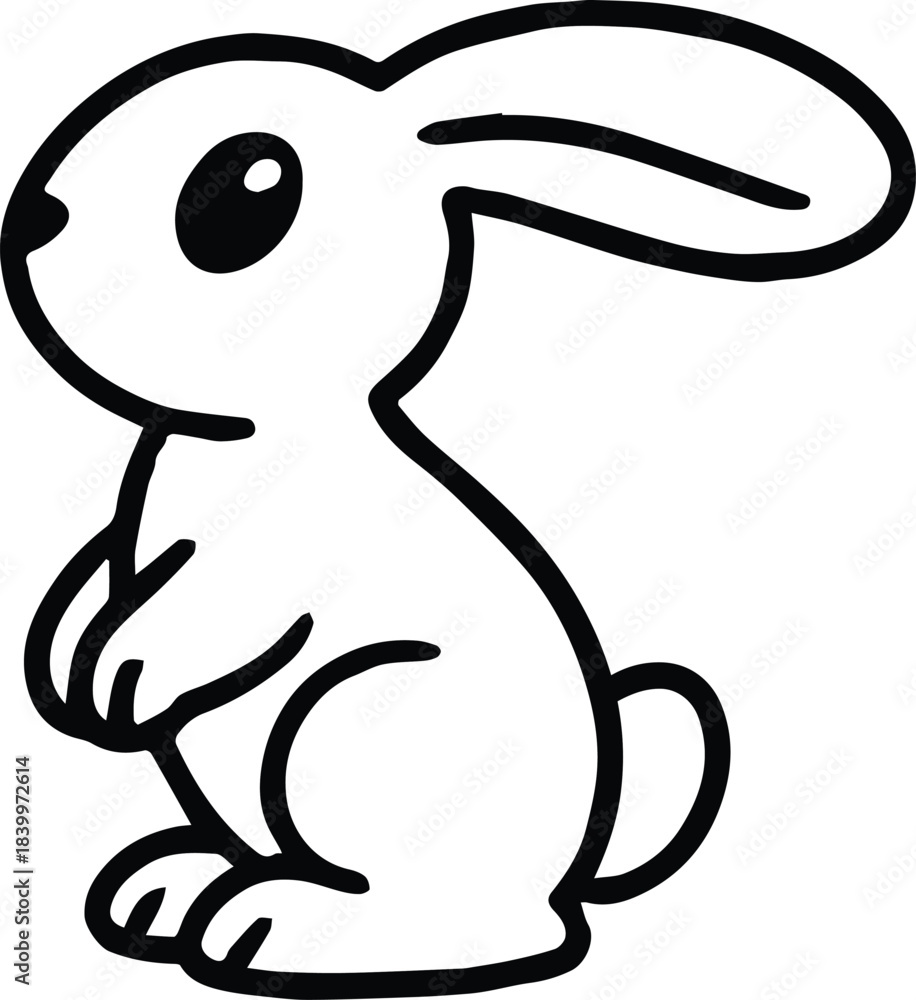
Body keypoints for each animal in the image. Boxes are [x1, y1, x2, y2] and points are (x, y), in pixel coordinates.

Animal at [3, 3, 911, 996]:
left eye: (250, 188)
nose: (33, 219)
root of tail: (566, 874)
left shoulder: (278, 561)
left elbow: (208, 614)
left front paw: (118, 681)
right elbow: (100, 571)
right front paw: (70, 676)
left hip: (348, 716)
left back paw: (275, 926)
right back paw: (165, 892)